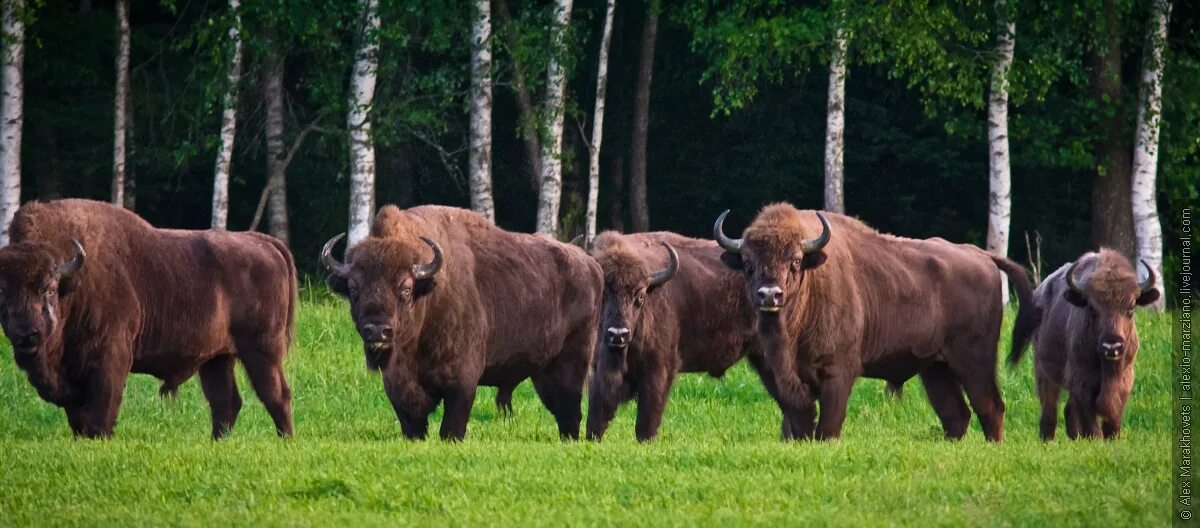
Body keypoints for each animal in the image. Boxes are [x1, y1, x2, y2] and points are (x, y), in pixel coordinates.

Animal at [0, 198, 297, 436]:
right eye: (3, 292)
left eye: (49, 289)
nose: (27, 334)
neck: (73, 285)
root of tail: (265, 242)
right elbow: (78, 421)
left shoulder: (111, 360)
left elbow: (100, 416)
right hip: (217, 358)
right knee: (226, 402)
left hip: (262, 350)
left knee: (277, 395)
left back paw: (286, 441)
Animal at [324, 204, 600, 439]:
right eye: (353, 288)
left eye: (406, 288)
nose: (377, 330)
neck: (430, 295)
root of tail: (590, 264)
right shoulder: (399, 385)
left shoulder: (462, 382)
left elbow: (451, 428)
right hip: (542, 371)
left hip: (571, 363)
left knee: (570, 411)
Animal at [583, 230, 777, 441]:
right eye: (603, 293)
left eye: (640, 296)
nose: (618, 334)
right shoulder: (598, 372)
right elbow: (596, 415)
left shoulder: (659, 371)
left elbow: (646, 422)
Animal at [710, 204, 1041, 444]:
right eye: (748, 263)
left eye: (795, 261)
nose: (770, 295)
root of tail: (983, 256)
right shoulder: (786, 381)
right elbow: (800, 422)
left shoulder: (838, 372)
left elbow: (828, 427)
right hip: (935, 368)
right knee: (956, 414)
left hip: (974, 361)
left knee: (990, 407)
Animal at [1008, 249, 1156, 439]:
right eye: (1092, 309)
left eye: (1131, 308)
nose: (1112, 347)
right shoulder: (1082, 383)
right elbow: (1091, 424)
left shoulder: (1124, 380)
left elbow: (1113, 420)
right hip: (1044, 373)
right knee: (1049, 411)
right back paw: (1047, 438)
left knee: (1068, 410)